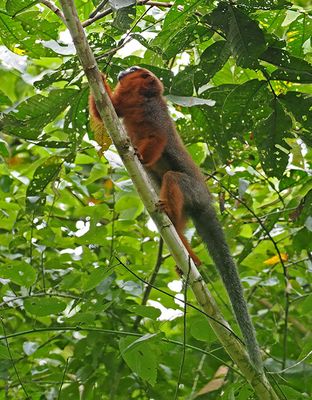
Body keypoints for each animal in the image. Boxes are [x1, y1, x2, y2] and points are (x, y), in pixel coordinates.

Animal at [89, 66, 262, 372]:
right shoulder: (121, 107)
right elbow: (103, 111)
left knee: (172, 178)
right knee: (175, 214)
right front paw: (94, 72)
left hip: (193, 192)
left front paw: (140, 156)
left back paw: (172, 220)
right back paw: (186, 248)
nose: (125, 69)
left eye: (134, 70)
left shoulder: (155, 113)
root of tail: (206, 201)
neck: (141, 99)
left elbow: (158, 138)